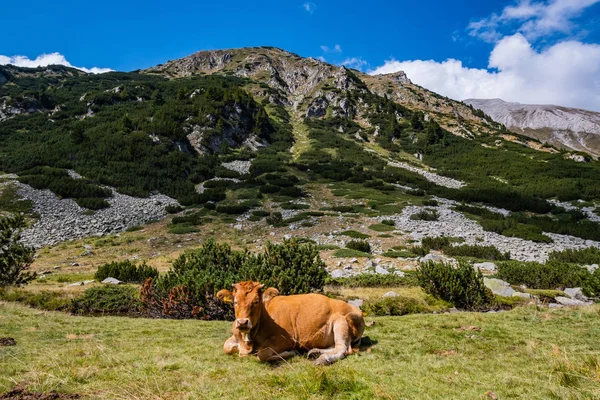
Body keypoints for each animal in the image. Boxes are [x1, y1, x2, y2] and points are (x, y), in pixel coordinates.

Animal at [217, 282, 366, 366]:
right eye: (235, 301)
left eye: (256, 301)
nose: (242, 322)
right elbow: (226, 347)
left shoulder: (286, 340)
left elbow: (262, 354)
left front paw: (291, 352)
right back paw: (315, 352)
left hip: (341, 321)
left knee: (343, 348)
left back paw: (323, 359)